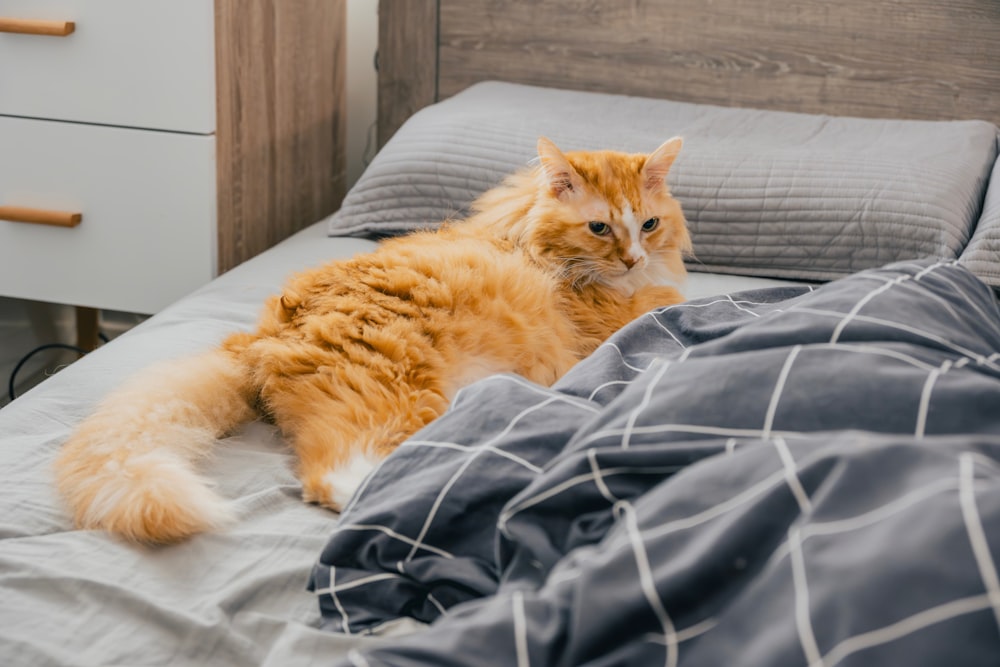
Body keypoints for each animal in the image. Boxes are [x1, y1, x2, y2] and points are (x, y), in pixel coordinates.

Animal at [54, 136, 692, 544]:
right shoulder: (609, 316)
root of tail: (259, 335)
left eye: (649, 224)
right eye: (600, 227)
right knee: (345, 476)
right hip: (395, 390)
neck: (524, 238)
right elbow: (666, 301)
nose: (633, 259)